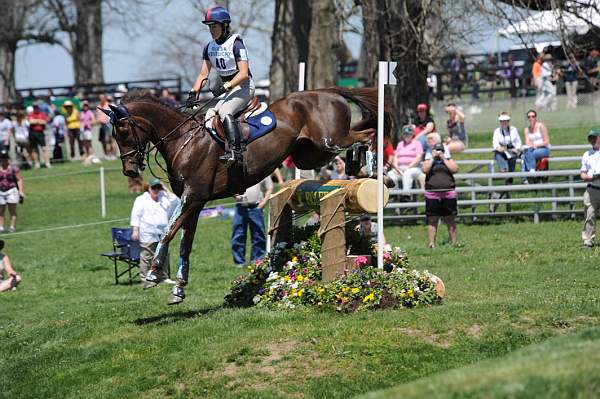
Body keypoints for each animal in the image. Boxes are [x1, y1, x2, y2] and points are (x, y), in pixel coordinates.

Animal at [106, 87, 392, 304]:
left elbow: (167, 232)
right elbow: (185, 243)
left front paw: (153, 275)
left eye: (124, 132)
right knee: (356, 137)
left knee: (367, 133)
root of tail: (327, 91)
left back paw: (371, 167)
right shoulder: (195, 203)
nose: (130, 170)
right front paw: (178, 288)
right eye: (115, 135)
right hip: (310, 153)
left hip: (329, 139)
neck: (183, 140)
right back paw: (356, 165)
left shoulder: (193, 196)